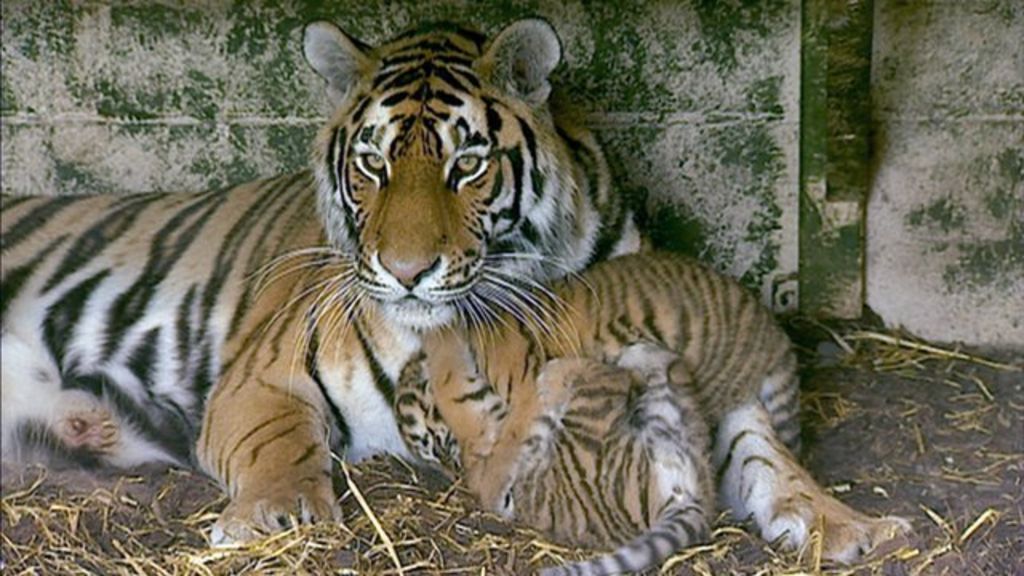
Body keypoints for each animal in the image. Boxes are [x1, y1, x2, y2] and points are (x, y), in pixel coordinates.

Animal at [2, 15, 638, 541]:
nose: (406, 272)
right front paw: (272, 514)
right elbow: (279, 443)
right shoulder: (259, 378)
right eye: (373, 164)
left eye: (467, 165)